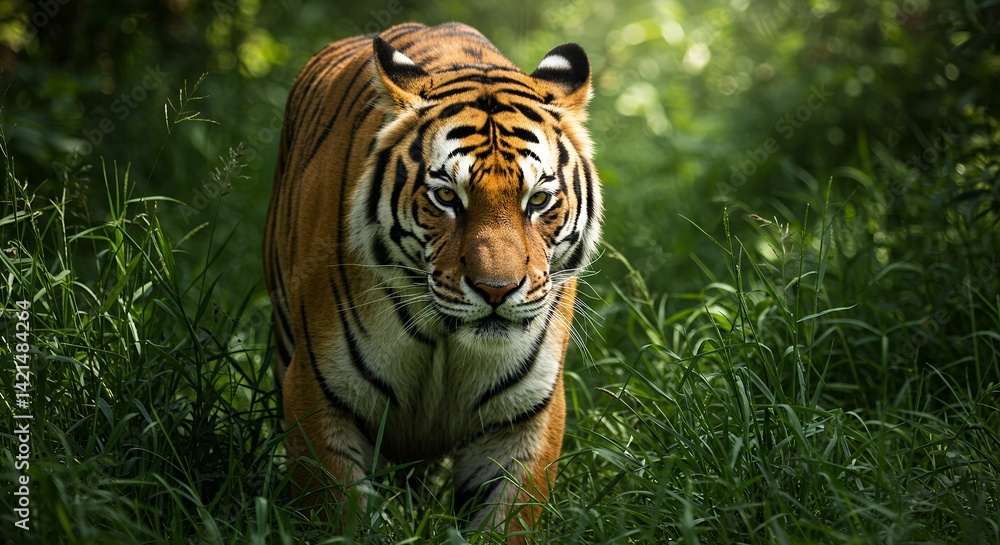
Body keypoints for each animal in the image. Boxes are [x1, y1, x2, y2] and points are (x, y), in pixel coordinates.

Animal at [263, 22, 603, 542]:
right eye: (446, 197)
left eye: (539, 200)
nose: (497, 290)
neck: (446, 340)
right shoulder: (320, 395)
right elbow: (340, 514)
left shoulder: (522, 418)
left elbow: (506, 521)